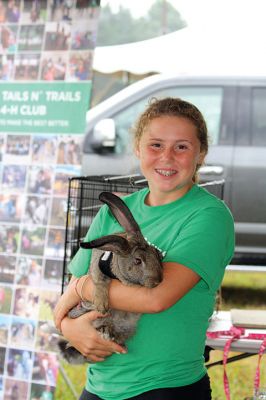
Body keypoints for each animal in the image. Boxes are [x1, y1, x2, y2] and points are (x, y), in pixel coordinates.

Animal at [58, 192, 162, 364]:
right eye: (138, 261)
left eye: (157, 254)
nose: (158, 281)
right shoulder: (97, 267)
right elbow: (100, 281)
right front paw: (101, 305)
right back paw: (105, 331)